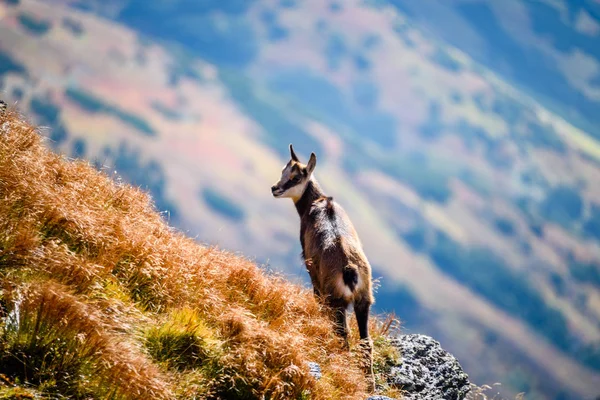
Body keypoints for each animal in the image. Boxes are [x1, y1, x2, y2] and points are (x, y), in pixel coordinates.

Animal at [274, 144, 376, 388]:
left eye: (295, 177)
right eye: (283, 171)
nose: (275, 188)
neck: (317, 202)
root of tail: (349, 270)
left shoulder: (312, 270)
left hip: (336, 300)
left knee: (343, 334)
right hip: (364, 299)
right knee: (365, 341)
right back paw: (369, 384)